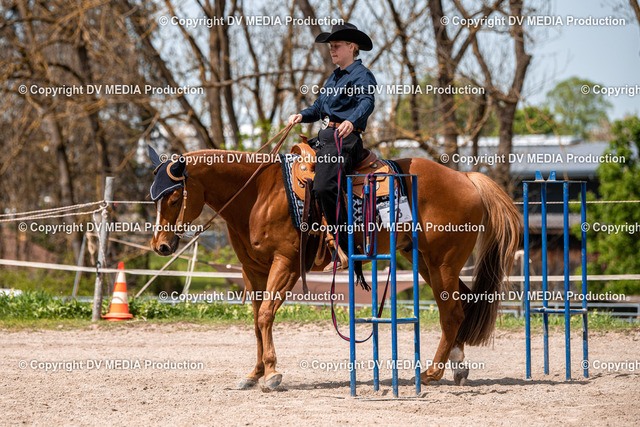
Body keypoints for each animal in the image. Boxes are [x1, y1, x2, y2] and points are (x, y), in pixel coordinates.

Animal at [148, 144, 521, 390]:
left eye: (173, 197)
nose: (161, 246)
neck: (258, 194)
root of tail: (466, 177)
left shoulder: (286, 265)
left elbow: (266, 315)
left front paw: (272, 374)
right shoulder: (252, 270)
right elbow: (256, 320)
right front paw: (253, 374)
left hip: (442, 262)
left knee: (452, 313)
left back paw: (431, 374)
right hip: (431, 264)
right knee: (460, 306)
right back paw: (456, 367)